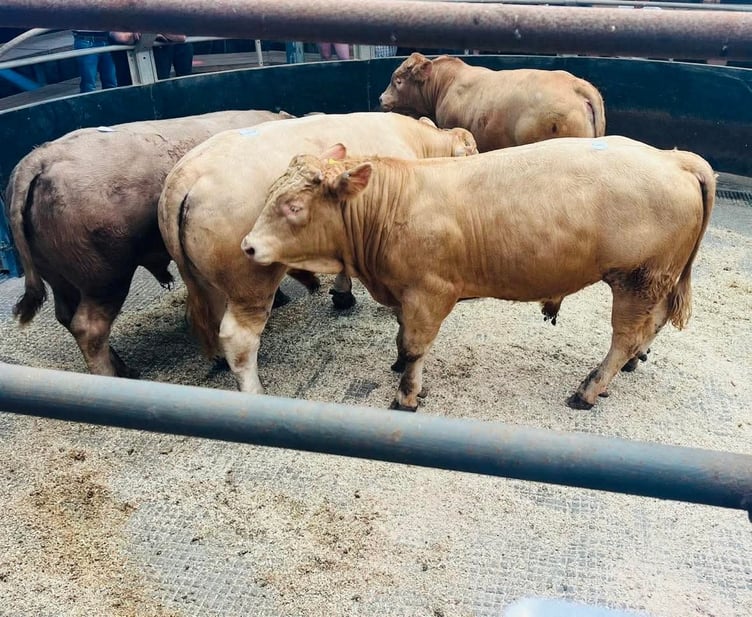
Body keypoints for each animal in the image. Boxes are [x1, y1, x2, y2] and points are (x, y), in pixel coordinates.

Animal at [4, 109, 292, 378]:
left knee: (66, 316)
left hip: (62, 280)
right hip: (106, 279)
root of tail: (40, 158)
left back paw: (125, 368)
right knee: (89, 328)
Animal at [157, 112, 478, 394]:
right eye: (472, 150)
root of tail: (185, 176)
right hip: (249, 284)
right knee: (239, 339)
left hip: (204, 279)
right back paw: (255, 390)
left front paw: (342, 293)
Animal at [242, 136, 715, 411]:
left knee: (625, 336)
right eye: (270, 194)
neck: (393, 201)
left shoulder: (429, 292)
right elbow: (402, 337)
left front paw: (407, 395)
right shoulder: (403, 292)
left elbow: (414, 345)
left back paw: (589, 389)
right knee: (651, 325)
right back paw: (634, 362)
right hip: (656, 280)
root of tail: (673, 157)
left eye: (294, 207)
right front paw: (403, 372)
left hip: (637, 279)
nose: (247, 245)